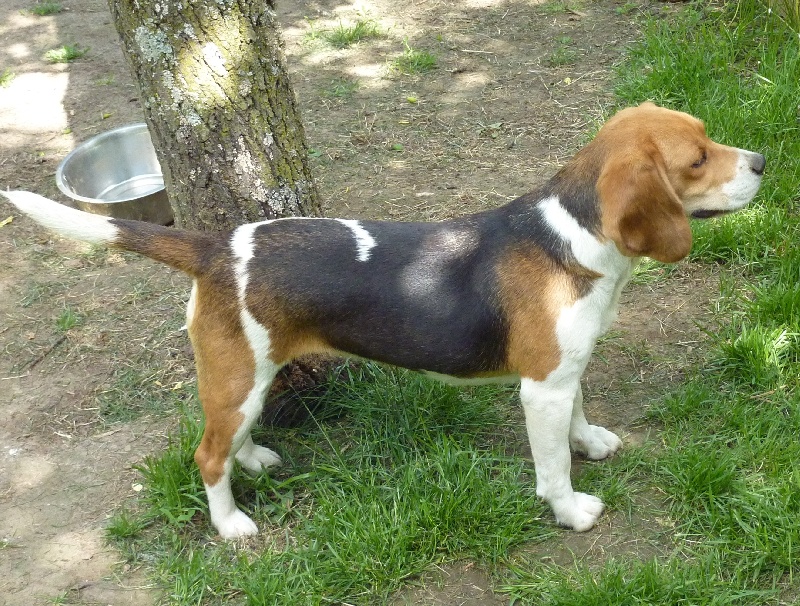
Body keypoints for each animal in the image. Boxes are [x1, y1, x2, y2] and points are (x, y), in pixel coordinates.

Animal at [3, 103, 764, 540]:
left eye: (707, 137)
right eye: (697, 159)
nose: (761, 160)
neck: (574, 235)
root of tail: (218, 246)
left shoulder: (564, 373)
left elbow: (578, 418)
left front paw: (591, 442)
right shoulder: (541, 387)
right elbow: (551, 466)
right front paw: (571, 509)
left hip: (248, 374)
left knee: (227, 438)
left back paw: (254, 459)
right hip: (238, 373)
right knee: (206, 455)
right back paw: (231, 523)